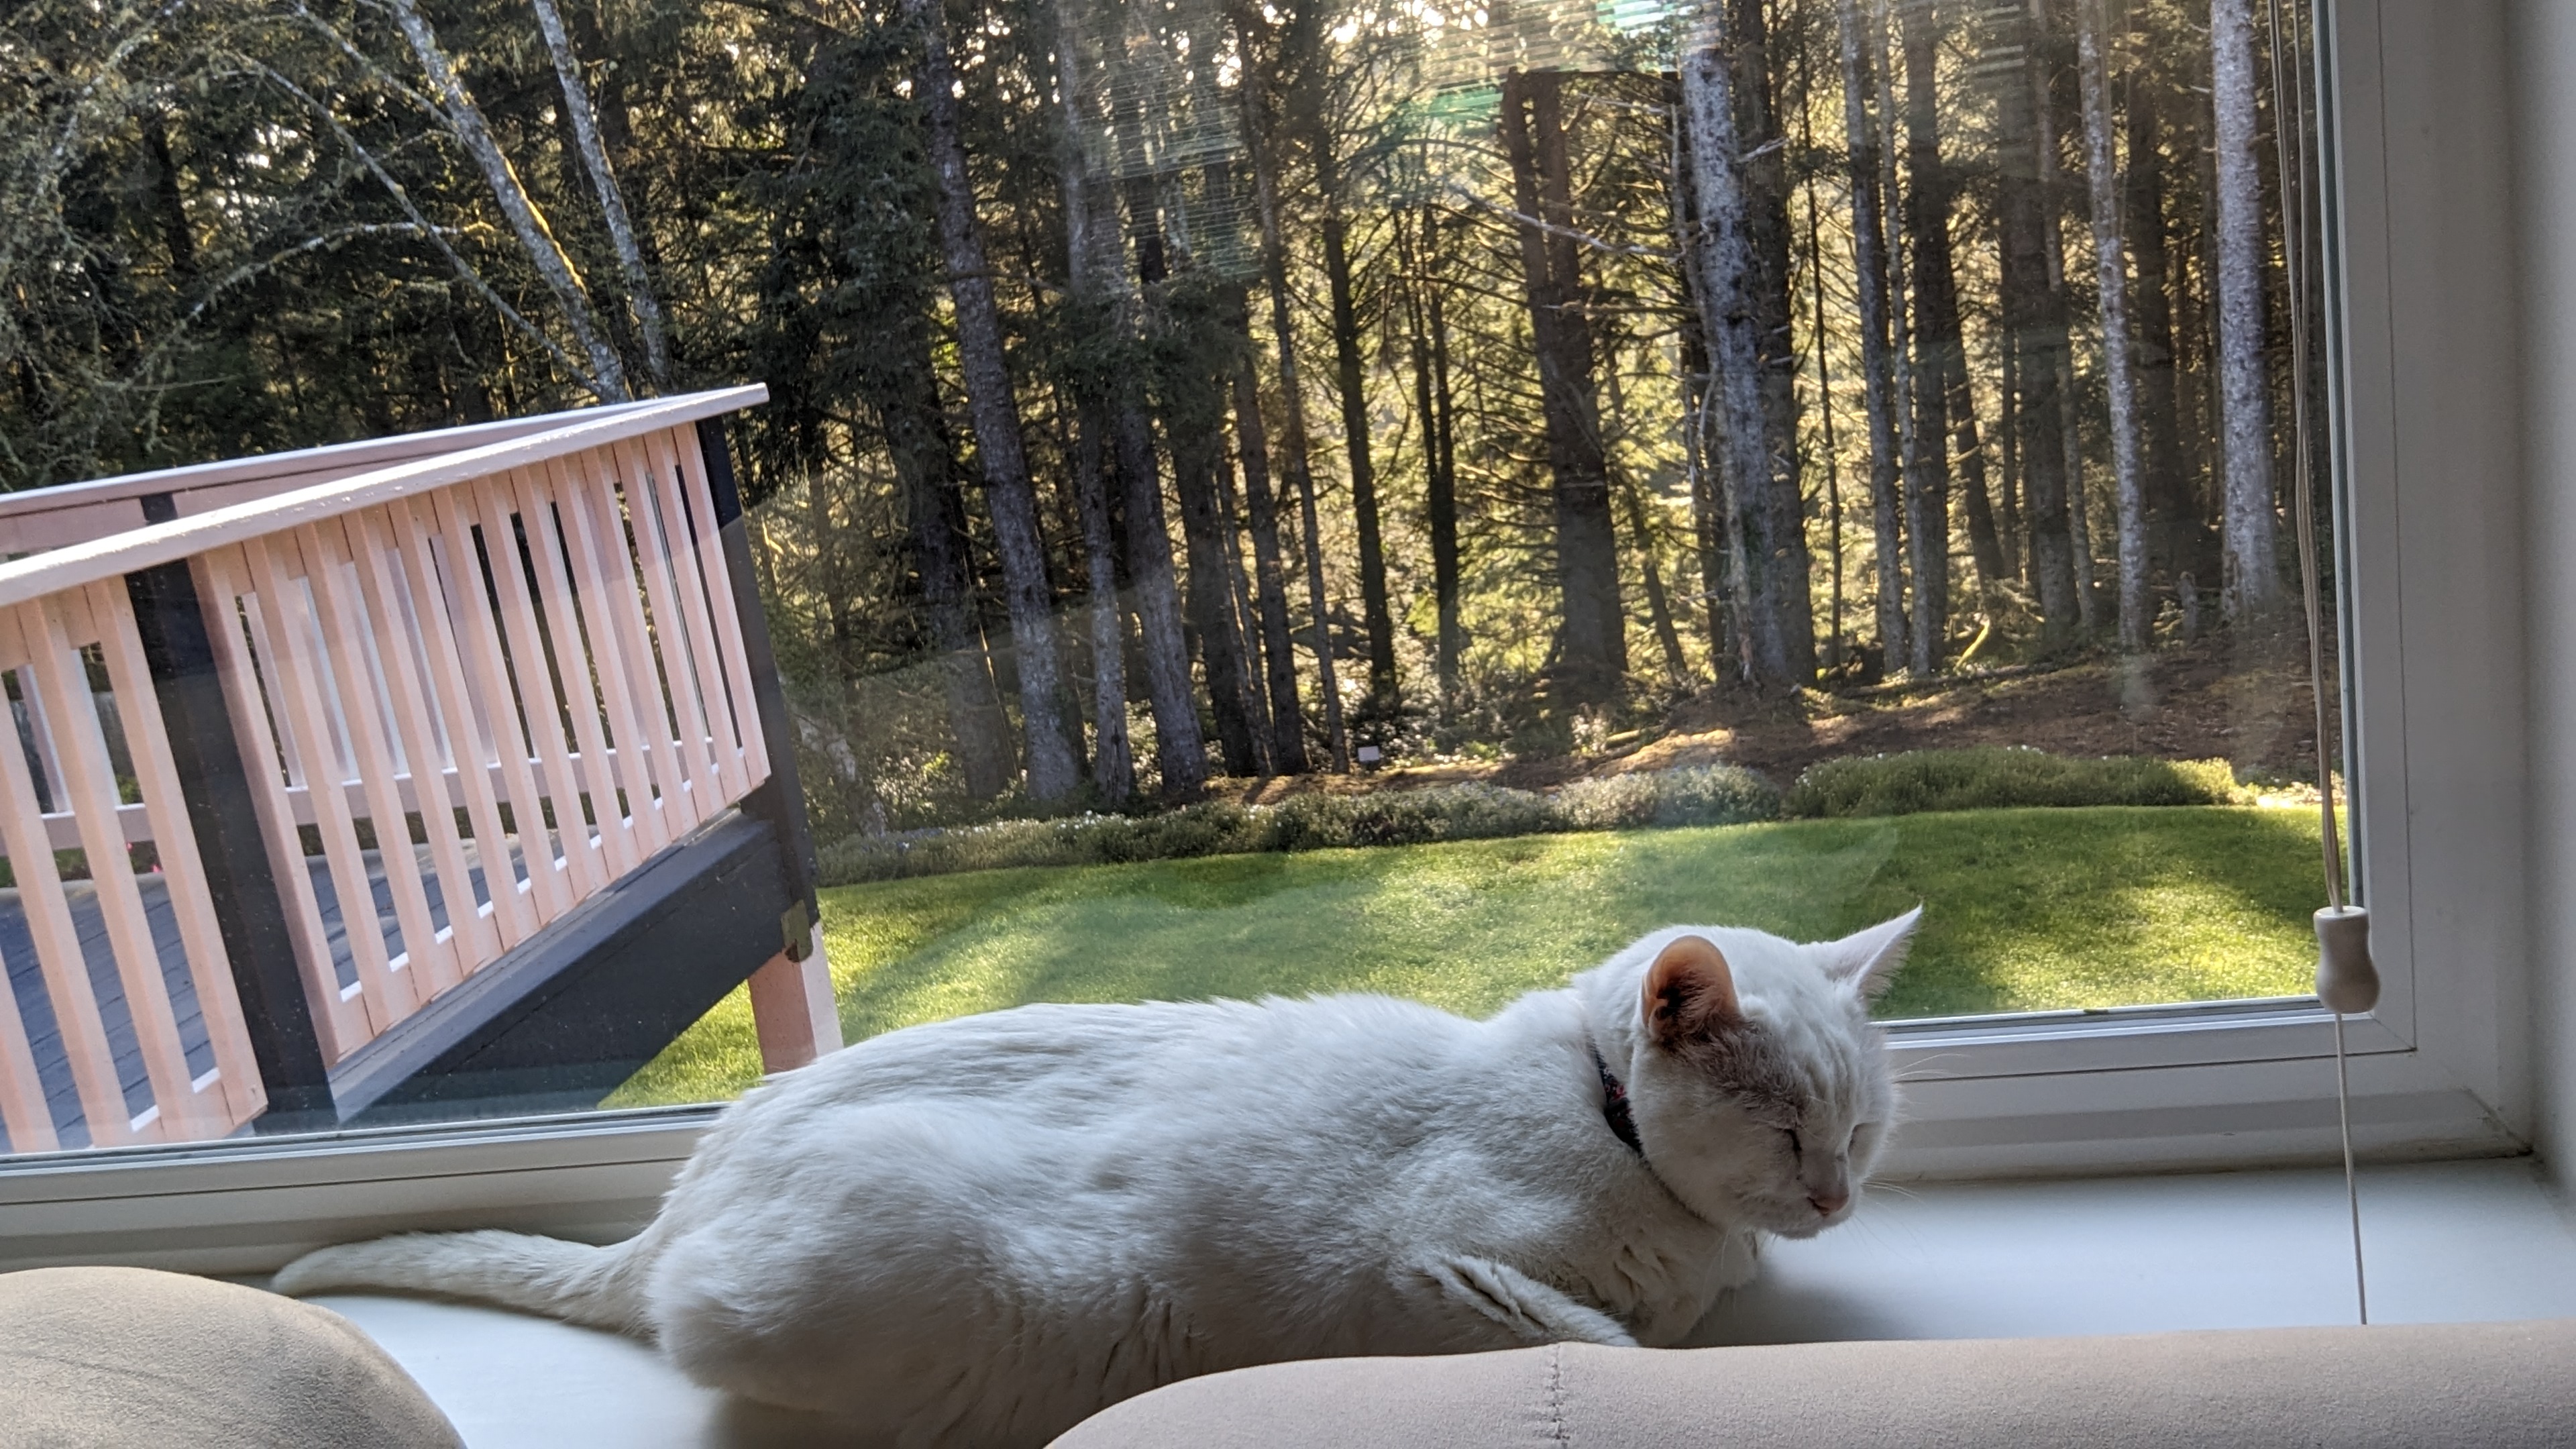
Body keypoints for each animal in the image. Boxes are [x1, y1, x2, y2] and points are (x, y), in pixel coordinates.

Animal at [282, 907, 1927, 1433]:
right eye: (1791, 1132)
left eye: (1859, 1133)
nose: (1838, 1198)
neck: (1602, 1120)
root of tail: (692, 1180)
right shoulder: (1436, 1272)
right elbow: (1601, 1346)